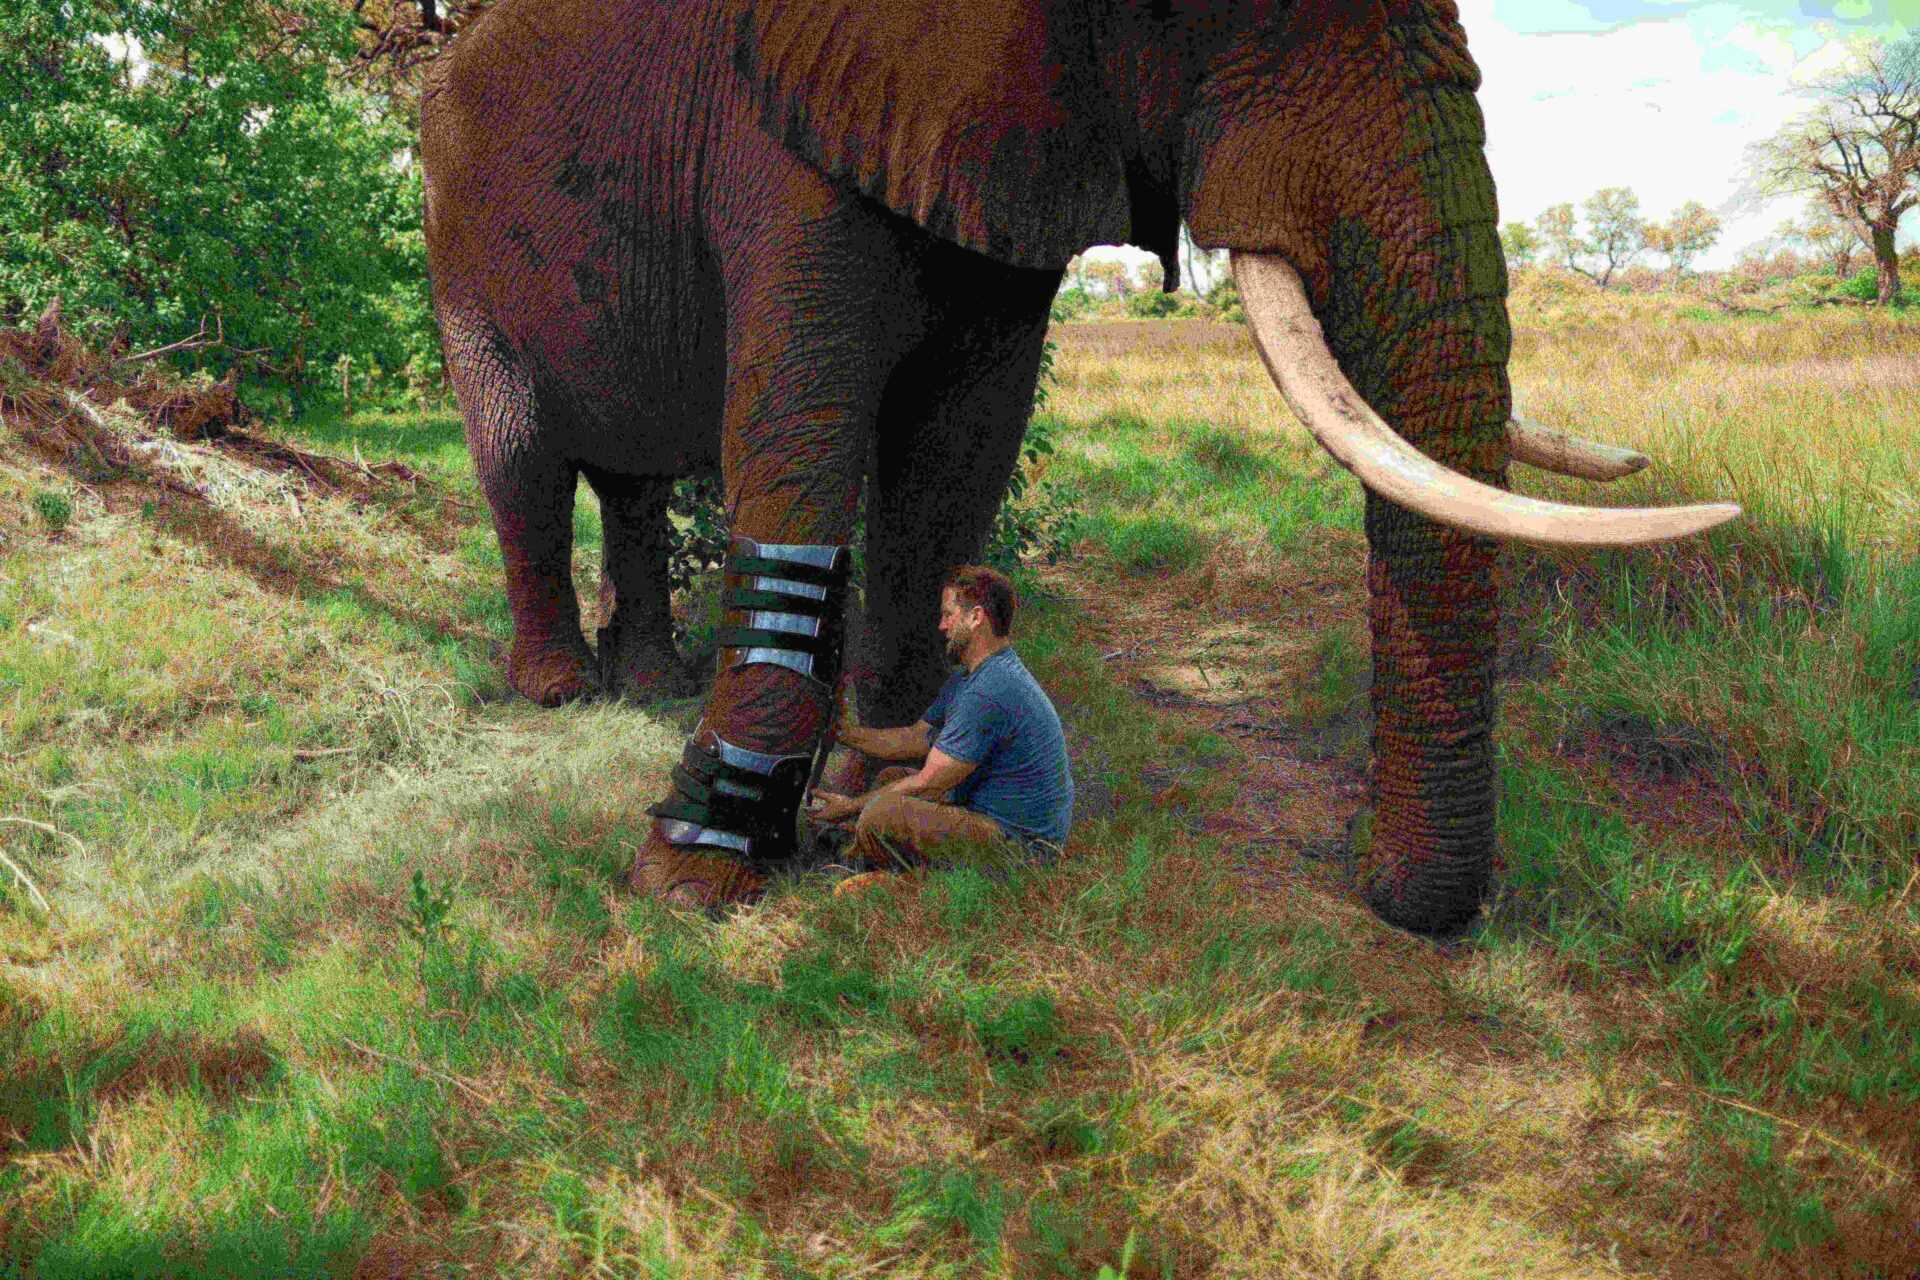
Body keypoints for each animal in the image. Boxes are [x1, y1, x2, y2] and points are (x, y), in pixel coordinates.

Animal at [424, 2, 1743, 940]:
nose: (1384, 896)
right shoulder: (783, 142)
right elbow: (798, 445)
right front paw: (689, 880)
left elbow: (955, 463)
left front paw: (854, 801)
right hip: (459, 238)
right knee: (523, 455)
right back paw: (559, 693)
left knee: (633, 480)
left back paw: (645, 680)